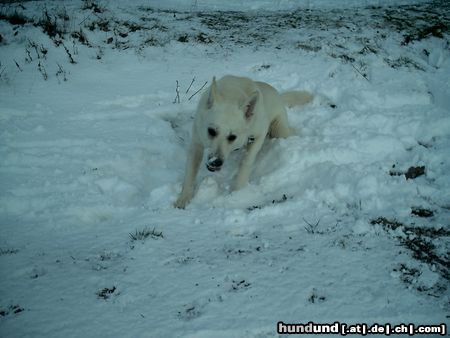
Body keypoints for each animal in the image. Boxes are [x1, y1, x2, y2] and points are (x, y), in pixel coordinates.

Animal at [173, 75, 312, 209]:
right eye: (211, 131)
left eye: (232, 137)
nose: (216, 162)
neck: (231, 95)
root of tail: (279, 96)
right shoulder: (196, 143)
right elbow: (190, 173)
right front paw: (183, 198)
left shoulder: (259, 135)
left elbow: (246, 162)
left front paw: (236, 191)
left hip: (280, 130)